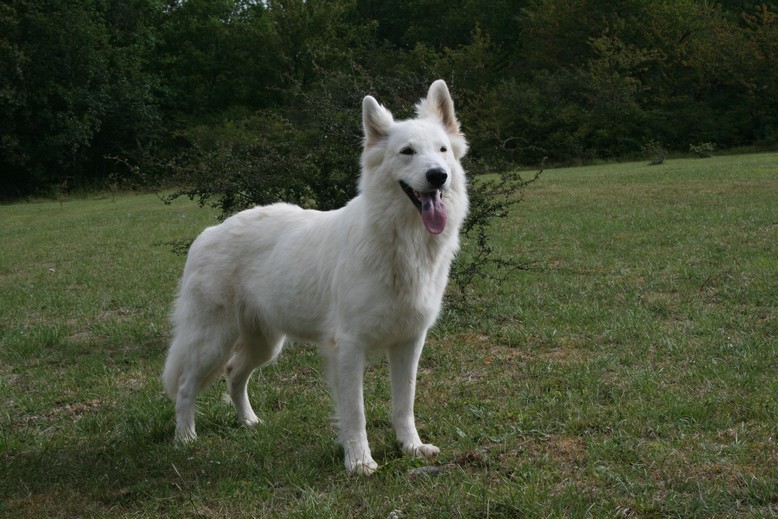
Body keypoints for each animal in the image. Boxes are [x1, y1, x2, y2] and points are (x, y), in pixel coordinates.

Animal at [162, 80, 466, 476]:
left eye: (442, 150)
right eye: (407, 152)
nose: (437, 175)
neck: (401, 242)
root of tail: (207, 233)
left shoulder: (409, 343)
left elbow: (405, 404)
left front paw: (411, 447)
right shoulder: (348, 347)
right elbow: (356, 413)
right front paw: (359, 461)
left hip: (264, 344)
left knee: (234, 374)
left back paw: (248, 422)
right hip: (212, 340)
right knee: (186, 386)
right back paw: (185, 439)